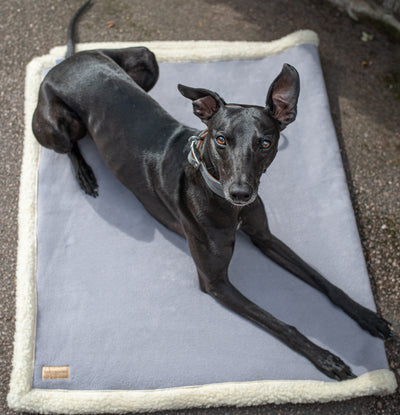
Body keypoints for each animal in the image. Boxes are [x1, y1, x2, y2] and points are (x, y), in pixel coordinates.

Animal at [32, 1, 394, 382]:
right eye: (221, 139)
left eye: (266, 143)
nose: (241, 193)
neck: (223, 200)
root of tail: (67, 60)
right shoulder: (215, 282)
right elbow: (282, 325)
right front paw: (326, 358)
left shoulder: (265, 237)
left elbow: (324, 281)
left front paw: (367, 316)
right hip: (56, 125)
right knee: (69, 146)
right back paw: (84, 173)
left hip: (147, 58)